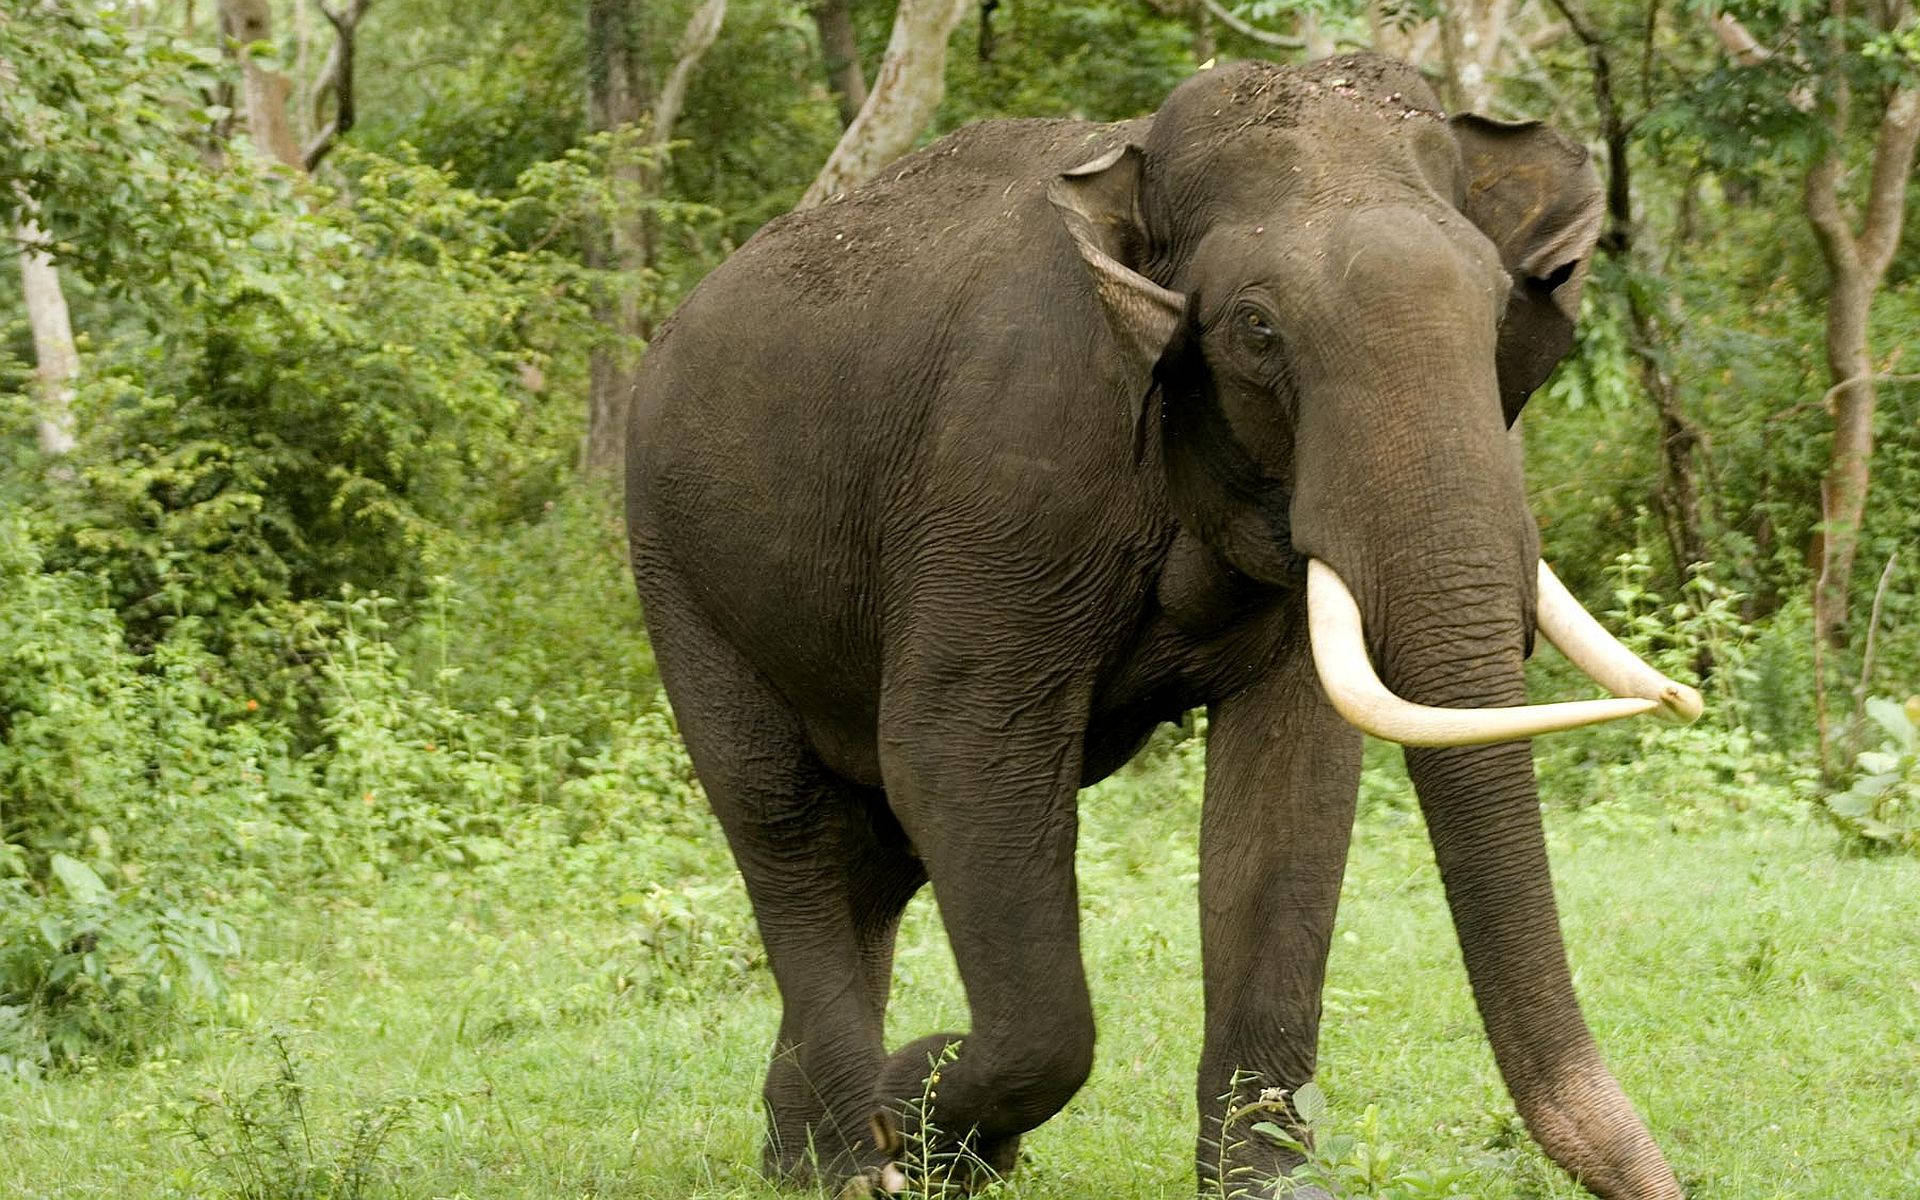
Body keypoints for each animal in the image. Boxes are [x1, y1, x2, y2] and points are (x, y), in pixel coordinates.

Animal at [622, 51, 1704, 1190]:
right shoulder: (1001, 474)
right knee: (783, 820)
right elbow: (960, 751)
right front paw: (921, 1113)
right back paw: (854, 1163)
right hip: (677, 569)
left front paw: (1269, 1185)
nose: (1664, 1183)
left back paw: (808, 1154)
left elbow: (1290, 783)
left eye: (1498, 308)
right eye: (1257, 328)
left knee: (872, 862)